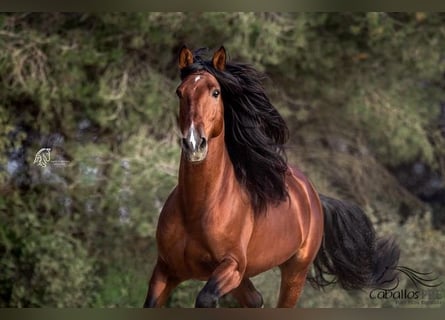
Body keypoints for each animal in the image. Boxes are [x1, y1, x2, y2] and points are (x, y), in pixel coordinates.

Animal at [143, 45, 398, 308]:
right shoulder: (165, 270)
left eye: (215, 92)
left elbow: (205, 299)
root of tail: (313, 195)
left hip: (294, 272)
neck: (196, 209)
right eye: (180, 92)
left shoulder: (231, 267)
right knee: (256, 300)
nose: (194, 144)